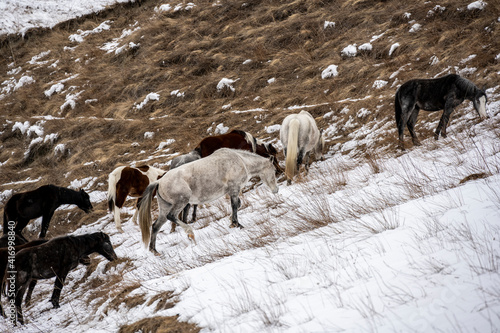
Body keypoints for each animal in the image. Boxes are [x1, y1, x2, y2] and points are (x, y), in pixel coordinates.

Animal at [138, 148, 278, 252]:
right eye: (275, 170)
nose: (276, 190)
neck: (240, 160)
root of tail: (159, 181)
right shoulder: (234, 189)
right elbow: (235, 206)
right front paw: (237, 224)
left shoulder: (233, 191)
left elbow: (237, 205)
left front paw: (232, 222)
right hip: (181, 202)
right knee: (171, 216)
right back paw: (190, 233)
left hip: (165, 206)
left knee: (156, 226)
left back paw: (154, 250)